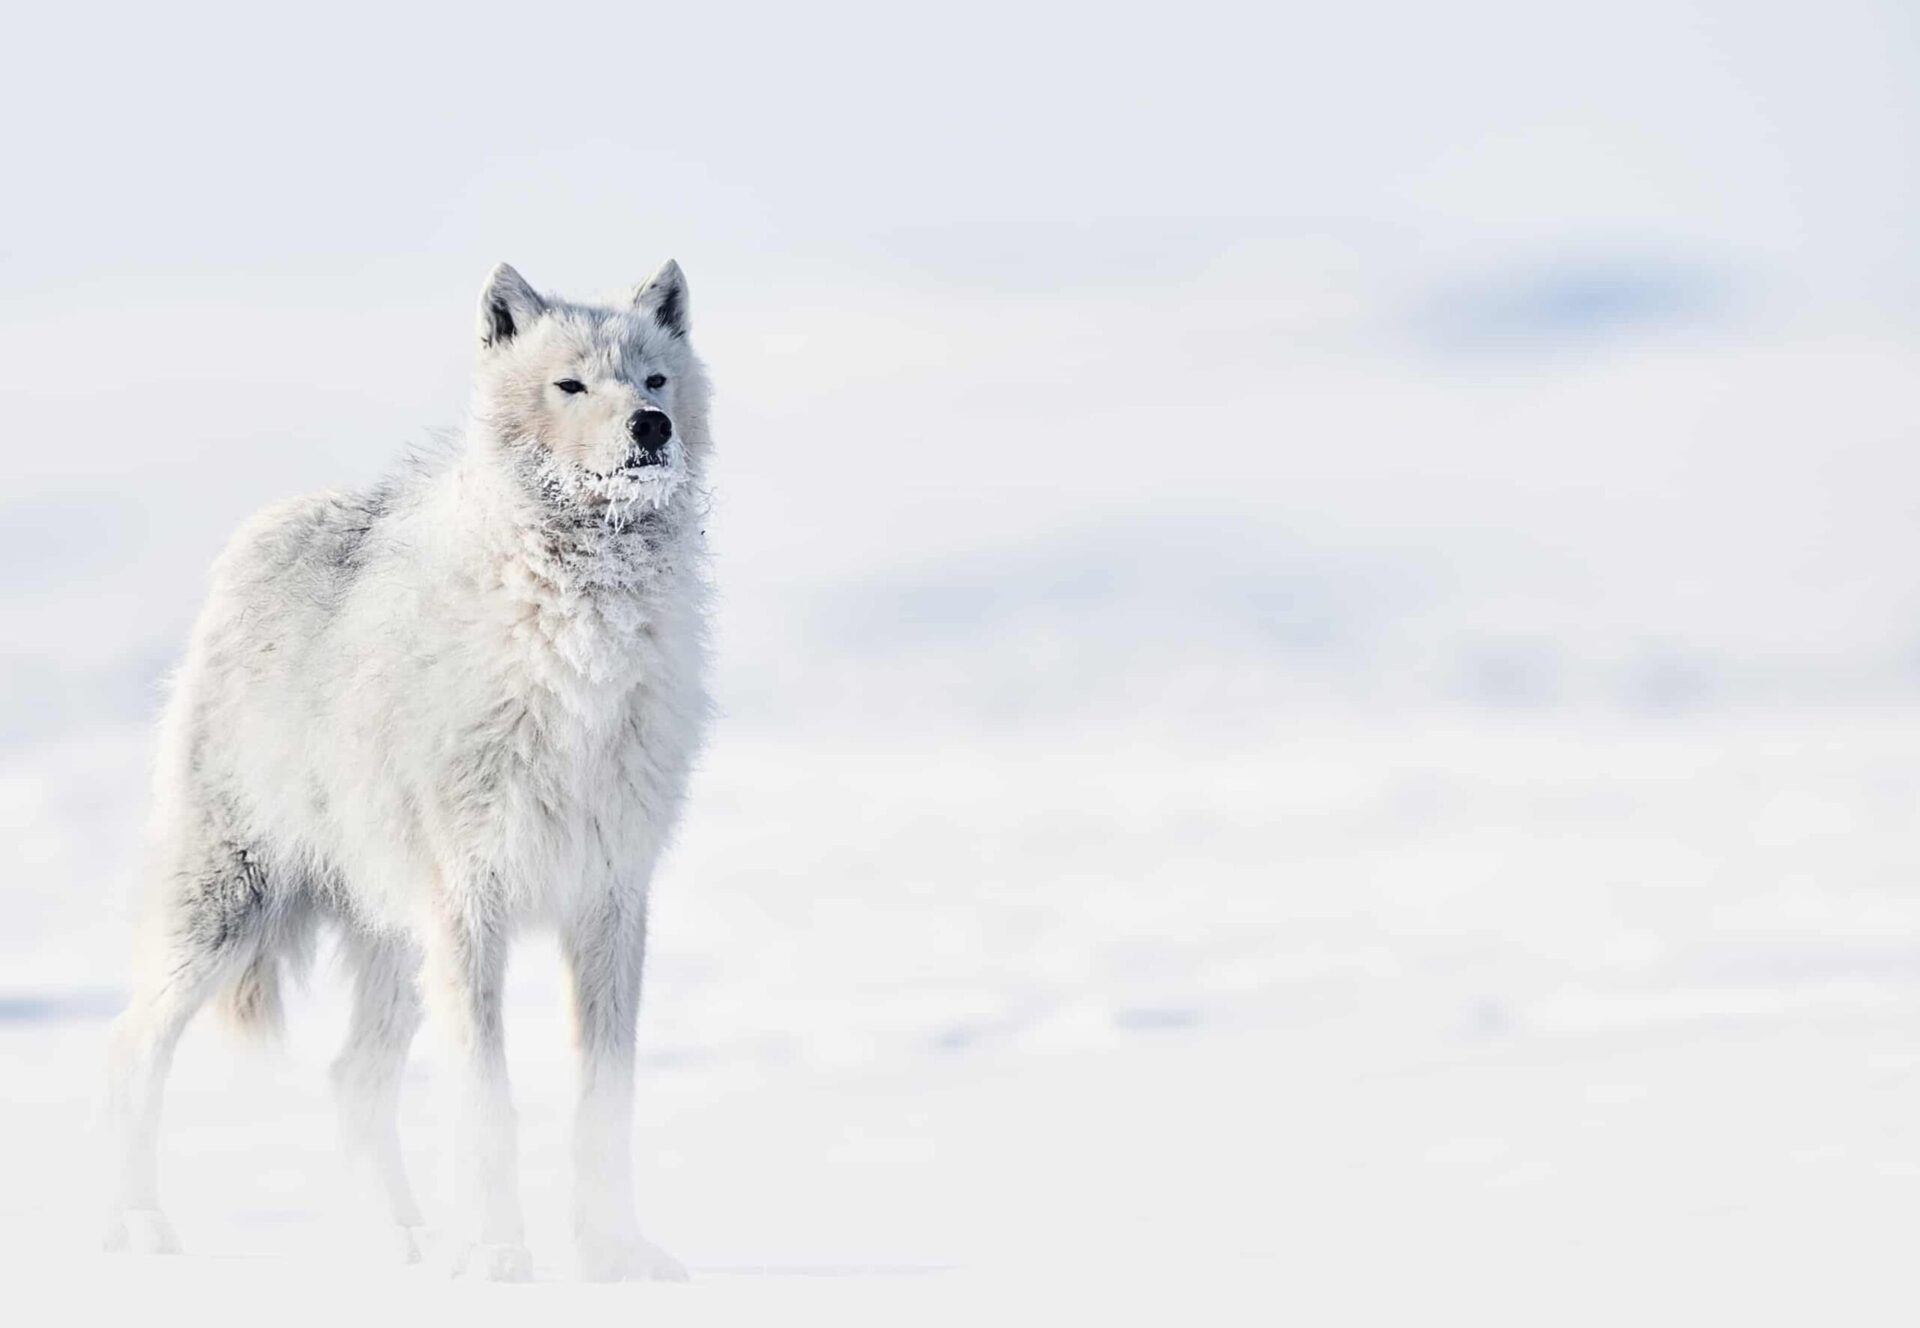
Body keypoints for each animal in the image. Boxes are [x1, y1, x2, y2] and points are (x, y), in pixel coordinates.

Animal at [101, 253, 714, 1281]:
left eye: (656, 380)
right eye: (571, 386)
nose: (649, 426)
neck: (574, 634)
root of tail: (266, 533)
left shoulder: (610, 900)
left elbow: (605, 1104)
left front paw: (614, 1254)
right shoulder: (472, 906)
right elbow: (489, 1106)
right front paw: (501, 1258)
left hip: (392, 939)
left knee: (351, 1078)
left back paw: (403, 1243)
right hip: (229, 912)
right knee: (131, 1046)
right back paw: (139, 1228)